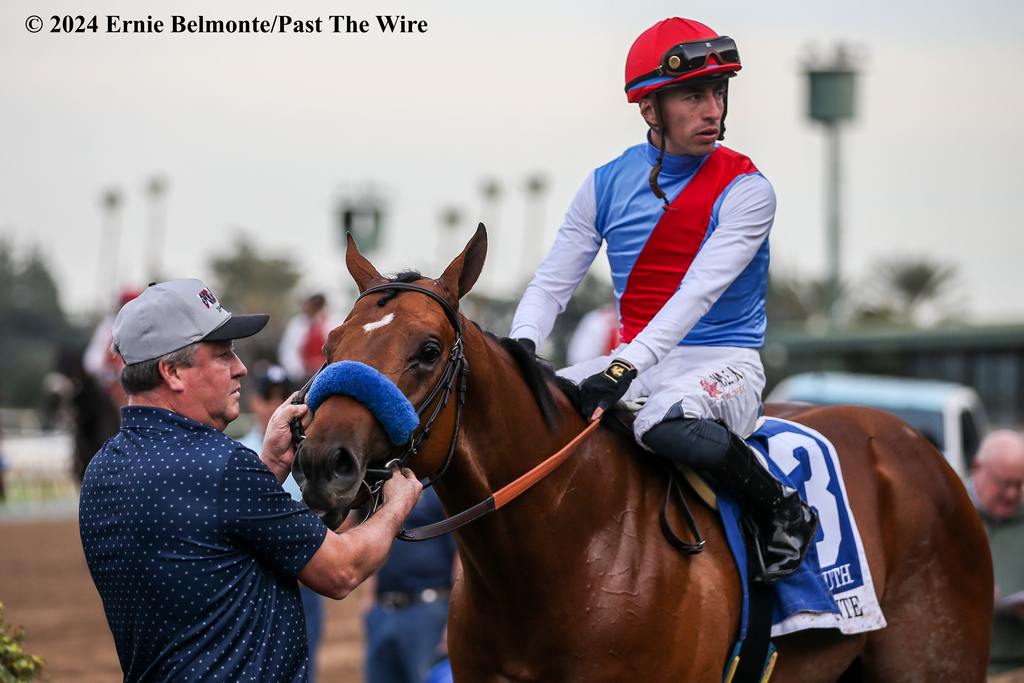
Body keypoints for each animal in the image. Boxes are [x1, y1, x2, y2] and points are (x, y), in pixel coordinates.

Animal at [294, 227, 991, 679]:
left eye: (428, 350)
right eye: (332, 343)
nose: (323, 462)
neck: (570, 551)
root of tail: (914, 442)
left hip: (935, 658)